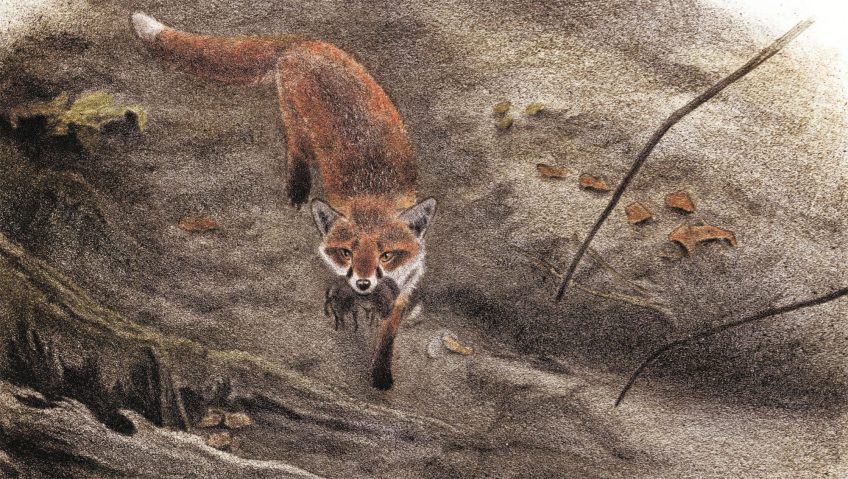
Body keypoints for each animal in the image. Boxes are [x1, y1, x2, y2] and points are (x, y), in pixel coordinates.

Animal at [131, 12, 437, 389]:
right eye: (346, 252)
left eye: (387, 255)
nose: (363, 283)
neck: (373, 195)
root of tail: (303, 44)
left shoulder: (409, 279)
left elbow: (390, 328)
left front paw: (381, 370)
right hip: (295, 119)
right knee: (295, 147)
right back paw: (297, 187)